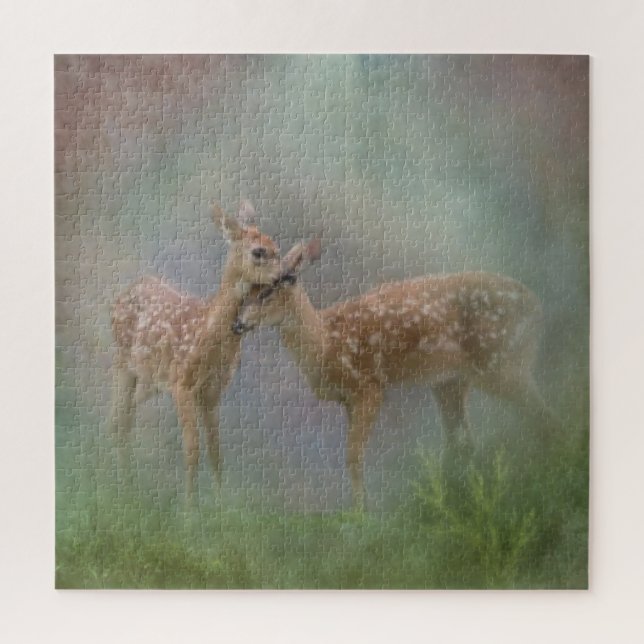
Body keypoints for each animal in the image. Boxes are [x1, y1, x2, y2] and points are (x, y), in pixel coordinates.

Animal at [109, 200, 281, 502]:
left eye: (276, 245)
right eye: (258, 251)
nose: (285, 275)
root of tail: (124, 293)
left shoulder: (212, 392)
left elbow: (215, 451)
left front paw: (220, 504)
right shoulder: (183, 385)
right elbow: (192, 451)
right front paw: (189, 508)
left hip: (151, 379)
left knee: (121, 416)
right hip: (124, 360)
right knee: (120, 417)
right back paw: (120, 485)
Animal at [232, 239, 561, 510]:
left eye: (272, 288)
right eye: (248, 289)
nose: (237, 323)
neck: (324, 343)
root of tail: (537, 308)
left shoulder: (369, 387)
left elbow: (353, 457)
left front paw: (360, 515)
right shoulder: (349, 400)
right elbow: (353, 456)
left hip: (500, 362)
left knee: (545, 420)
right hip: (450, 381)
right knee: (464, 441)